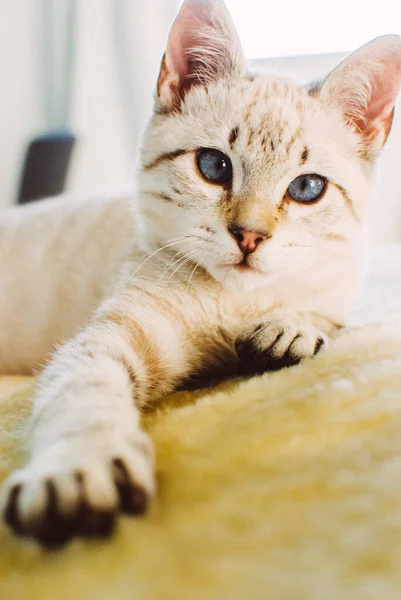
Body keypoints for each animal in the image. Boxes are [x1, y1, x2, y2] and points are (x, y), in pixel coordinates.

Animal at [0, 0, 400, 548]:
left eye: (307, 188)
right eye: (214, 166)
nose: (250, 236)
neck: (237, 303)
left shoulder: (339, 287)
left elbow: (323, 313)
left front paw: (292, 327)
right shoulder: (110, 336)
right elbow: (82, 392)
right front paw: (77, 468)